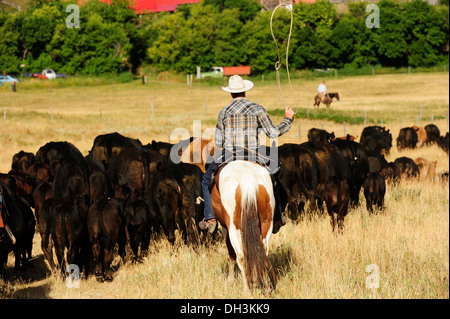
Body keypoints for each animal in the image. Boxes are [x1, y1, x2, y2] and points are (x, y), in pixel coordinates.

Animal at [211, 161, 278, 294]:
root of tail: (248, 178)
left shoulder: (225, 227)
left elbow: (231, 251)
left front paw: (230, 280)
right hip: (267, 222)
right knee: (263, 251)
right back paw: (266, 286)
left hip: (233, 227)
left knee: (240, 255)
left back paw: (247, 290)